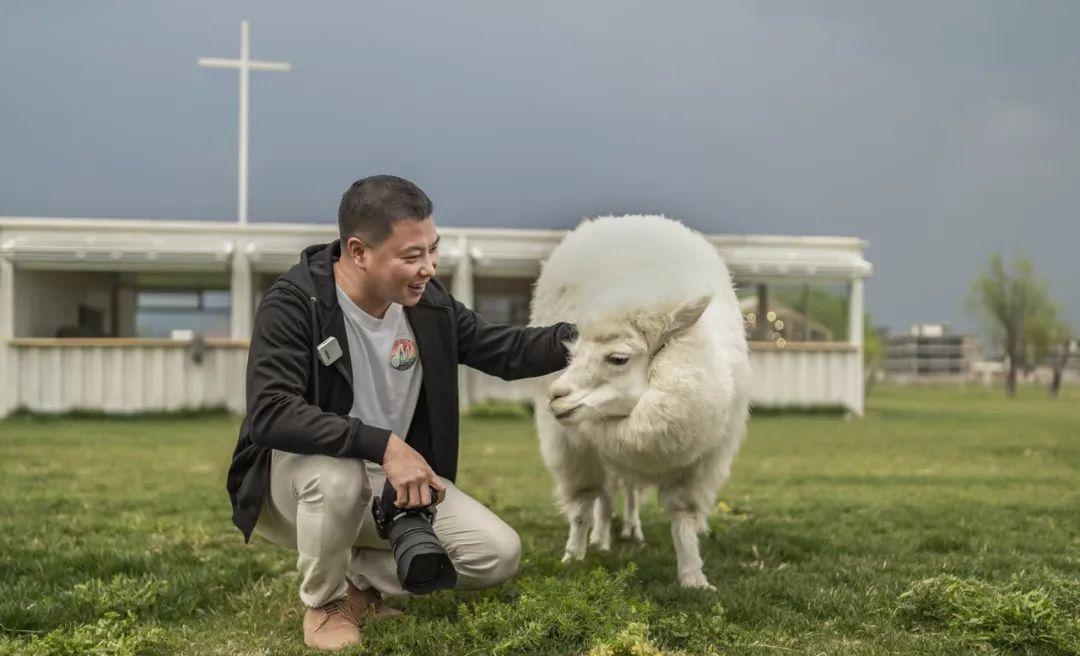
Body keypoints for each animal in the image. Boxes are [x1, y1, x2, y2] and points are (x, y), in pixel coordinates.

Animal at [530, 214, 751, 589]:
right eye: (571, 353)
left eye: (617, 358)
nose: (555, 395)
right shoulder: (575, 449)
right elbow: (583, 504)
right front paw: (573, 557)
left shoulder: (701, 463)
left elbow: (684, 516)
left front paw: (693, 577)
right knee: (605, 496)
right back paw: (601, 539)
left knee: (628, 491)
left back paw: (632, 530)